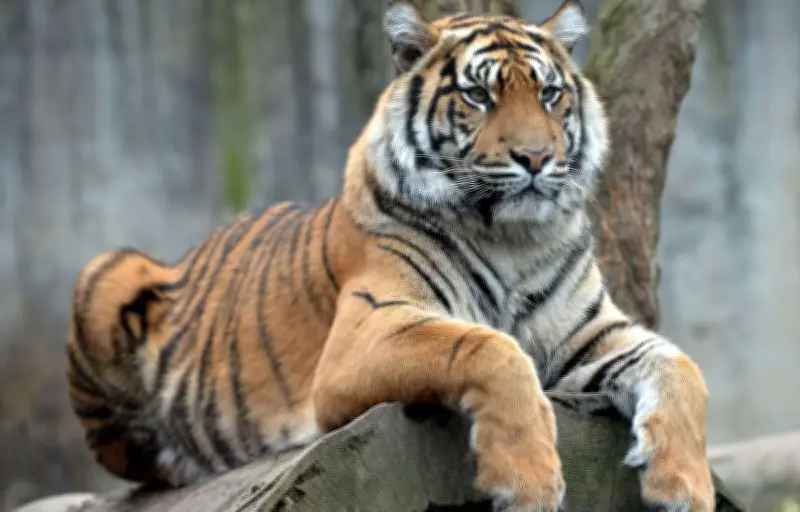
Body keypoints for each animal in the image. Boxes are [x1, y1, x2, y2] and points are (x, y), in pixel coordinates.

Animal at [66, 1, 715, 510]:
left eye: (550, 94)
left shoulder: (591, 332)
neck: (512, 238)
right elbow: (489, 347)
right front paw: (527, 482)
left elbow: (682, 368)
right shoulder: (366, 330)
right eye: (479, 96)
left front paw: (686, 486)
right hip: (107, 272)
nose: (536, 158)